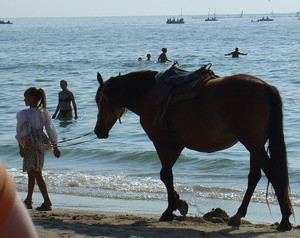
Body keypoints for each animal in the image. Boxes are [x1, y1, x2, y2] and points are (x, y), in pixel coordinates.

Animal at [94, 66, 292, 230]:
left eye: (100, 101)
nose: (98, 131)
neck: (149, 94)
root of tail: (264, 86)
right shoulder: (176, 145)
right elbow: (166, 174)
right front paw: (178, 203)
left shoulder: (161, 141)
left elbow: (166, 174)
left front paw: (169, 210)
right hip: (255, 145)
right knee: (255, 177)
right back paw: (238, 216)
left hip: (252, 143)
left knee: (272, 174)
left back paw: (284, 220)